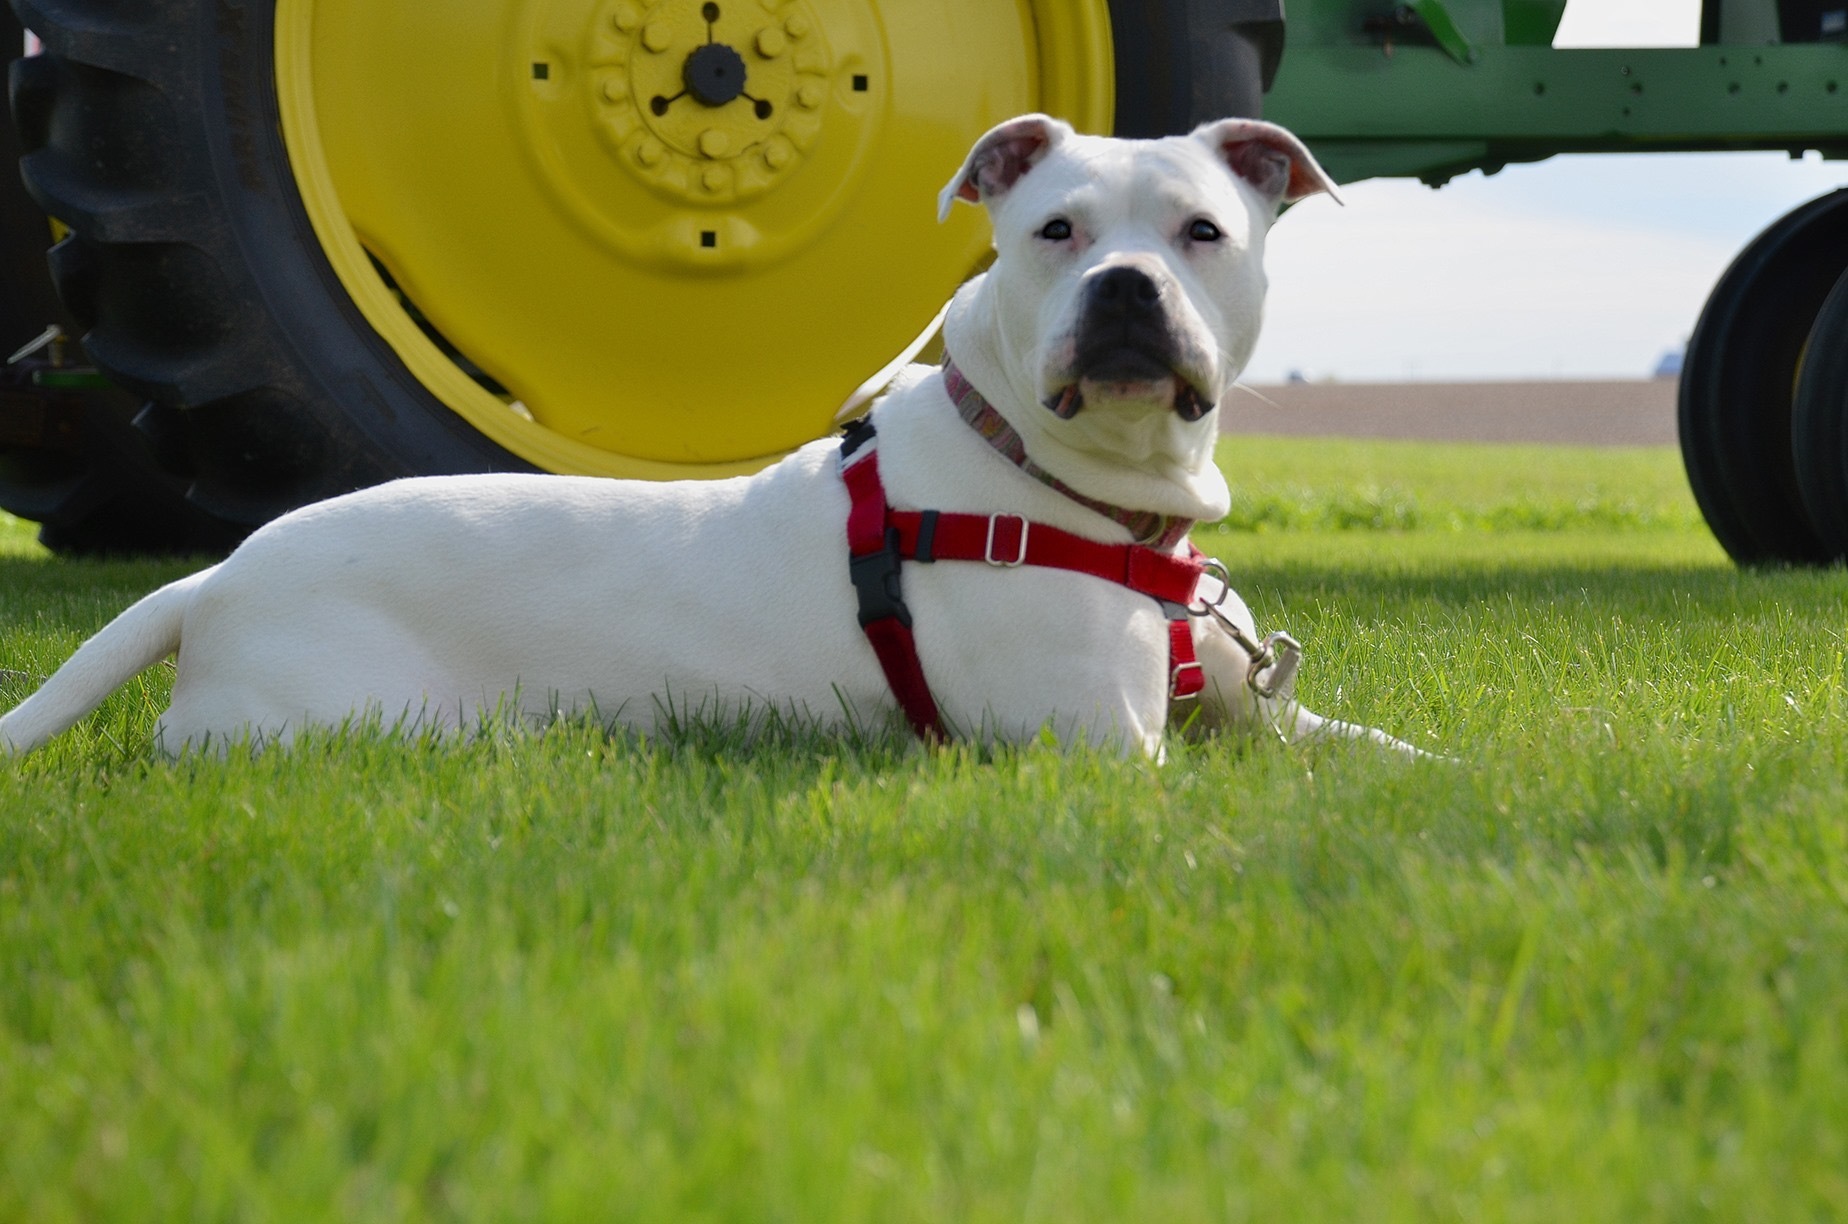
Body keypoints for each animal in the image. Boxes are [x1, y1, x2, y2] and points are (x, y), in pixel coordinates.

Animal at [0, 120, 1419, 761]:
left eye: (1202, 231)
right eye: (1054, 232)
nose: (1124, 290)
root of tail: (215, 577)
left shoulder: (1274, 718)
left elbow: (1400, 762)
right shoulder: (1101, 754)